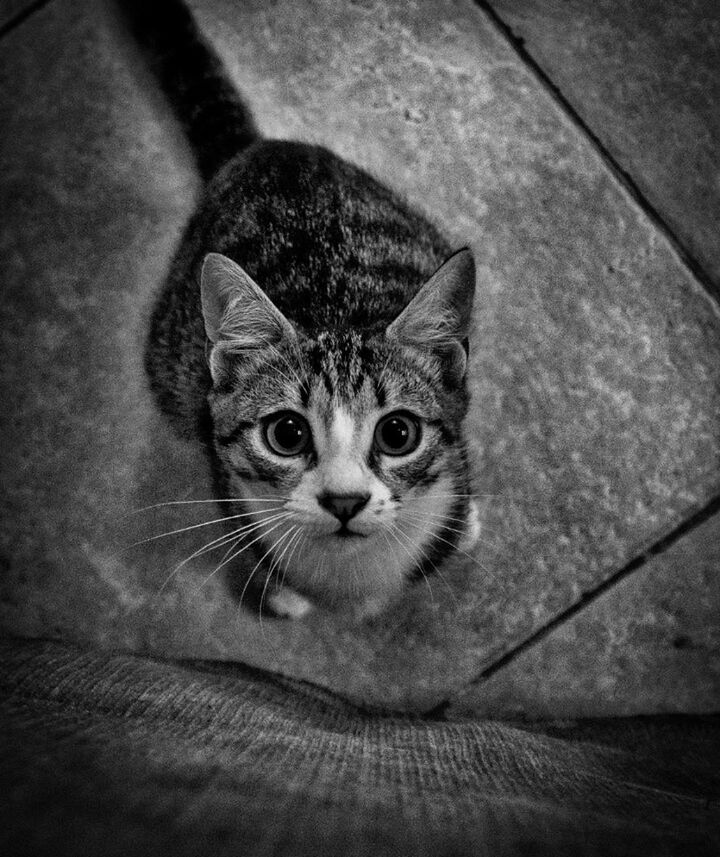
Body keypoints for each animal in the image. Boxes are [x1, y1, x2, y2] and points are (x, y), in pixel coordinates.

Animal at [116, 0, 478, 620]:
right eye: (286, 433)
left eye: (398, 433)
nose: (344, 500)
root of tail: (264, 150)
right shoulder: (222, 470)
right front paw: (277, 590)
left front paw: (461, 526)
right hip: (170, 361)